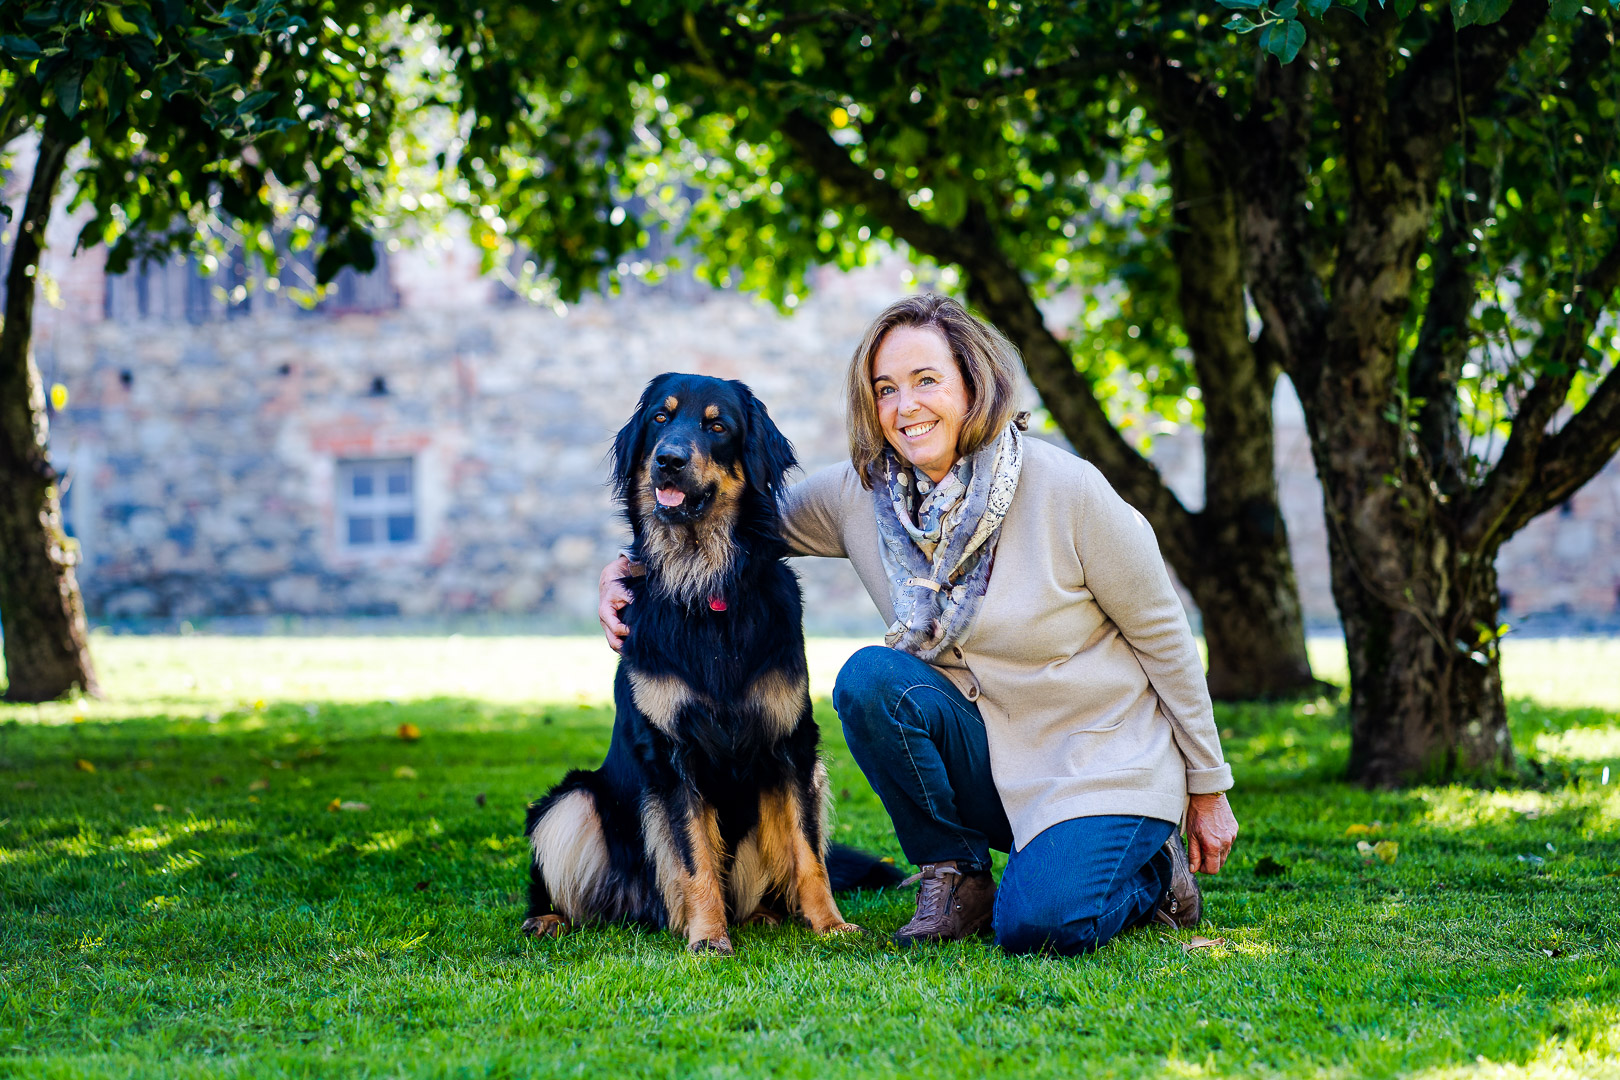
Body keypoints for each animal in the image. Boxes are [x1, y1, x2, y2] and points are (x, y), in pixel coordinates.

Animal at [521, 372, 894, 952]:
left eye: (717, 426)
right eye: (660, 417)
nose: (668, 460)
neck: (705, 583)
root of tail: (641, 912)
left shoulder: (792, 746)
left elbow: (808, 852)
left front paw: (830, 925)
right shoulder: (672, 751)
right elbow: (694, 857)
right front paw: (707, 938)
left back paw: (763, 915)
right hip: (571, 802)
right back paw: (552, 917)